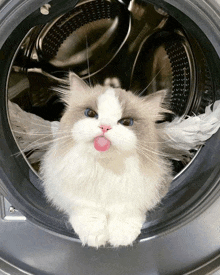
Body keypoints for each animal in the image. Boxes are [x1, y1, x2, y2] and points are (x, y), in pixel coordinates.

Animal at [40, 73, 173, 248]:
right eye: (90, 113)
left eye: (126, 122)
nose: (104, 127)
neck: (104, 167)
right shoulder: (72, 194)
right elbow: (89, 211)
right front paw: (94, 237)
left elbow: (125, 212)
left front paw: (121, 238)